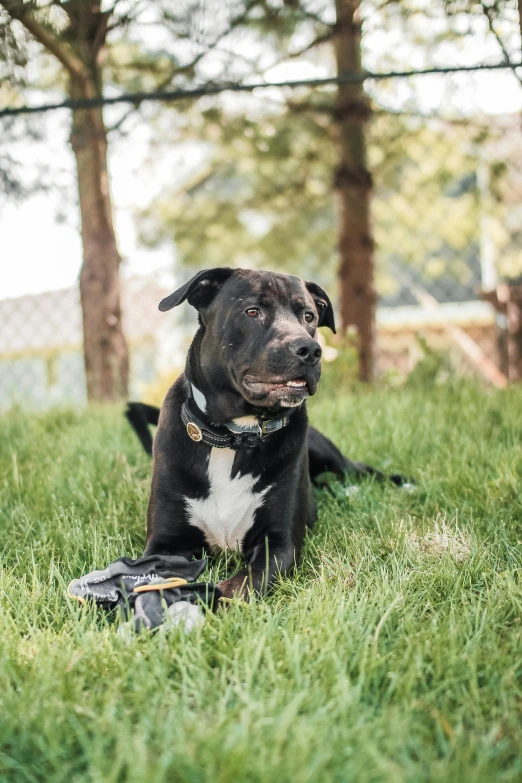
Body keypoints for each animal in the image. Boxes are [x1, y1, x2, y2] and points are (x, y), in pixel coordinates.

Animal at [127, 270, 402, 600]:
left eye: (309, 316)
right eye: (252, 311)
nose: (310, 350)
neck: (235, 437)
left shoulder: (279, 544)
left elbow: (236, 589)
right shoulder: (165, 543)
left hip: (330, 456)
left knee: (359, 470)